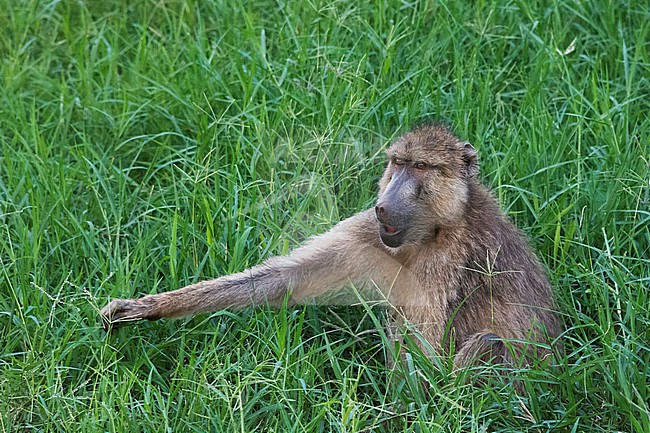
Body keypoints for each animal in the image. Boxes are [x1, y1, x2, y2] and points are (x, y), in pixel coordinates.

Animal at [100, 123, 561, 372]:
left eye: (422, 167)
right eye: (397, 163)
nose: (383, 205)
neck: (435, 230)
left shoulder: (451, 259)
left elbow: (429, 359)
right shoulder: (370, 234)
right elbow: (283, 280)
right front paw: (145, 306)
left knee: (490, 343)